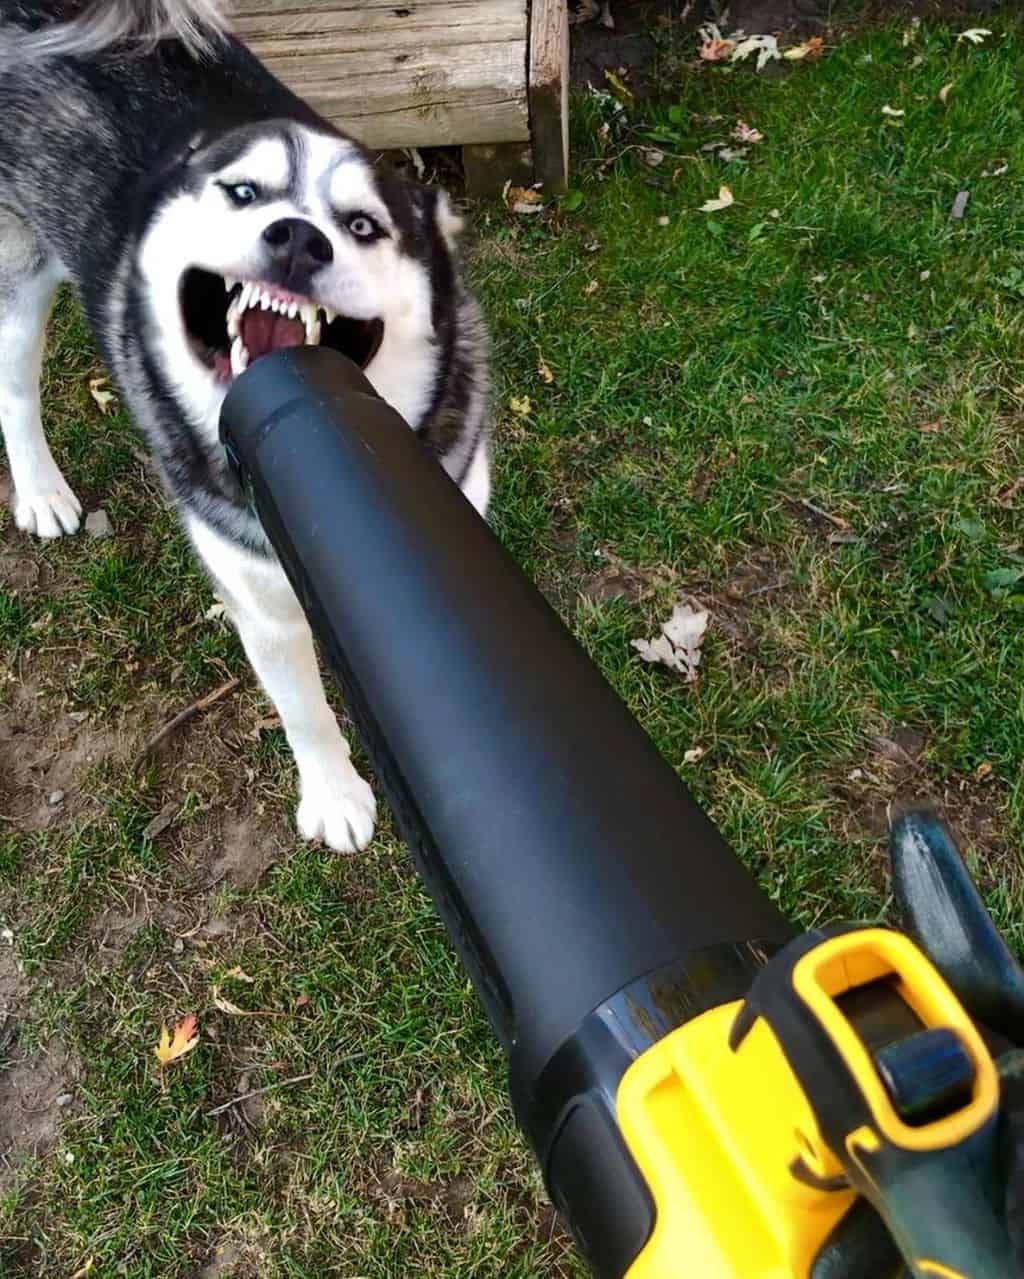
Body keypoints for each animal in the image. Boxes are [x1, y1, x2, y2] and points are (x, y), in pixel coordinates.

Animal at [0, 4, 490, 854]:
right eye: (242, 192)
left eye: (362, 225)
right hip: (22, 270)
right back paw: (40, 490)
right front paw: (334, 795)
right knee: (13, 378)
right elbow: (302, 710)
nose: (297, 237)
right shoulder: (258, 598)